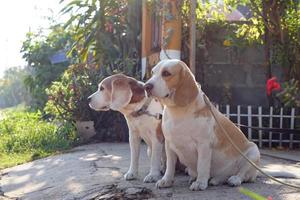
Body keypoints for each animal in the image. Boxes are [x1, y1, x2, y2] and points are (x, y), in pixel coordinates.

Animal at [144, 59, 258, 191]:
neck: (178, 113)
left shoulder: (204, 145)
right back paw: (214, 180)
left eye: (166, 73)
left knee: (242, 174)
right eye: (153, 72)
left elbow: (202, 166)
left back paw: (234, 179)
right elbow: (170, 166)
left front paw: (200, 183)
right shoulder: (169, 145)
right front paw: (166, 181)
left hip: (253, 152)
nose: (146, 86)